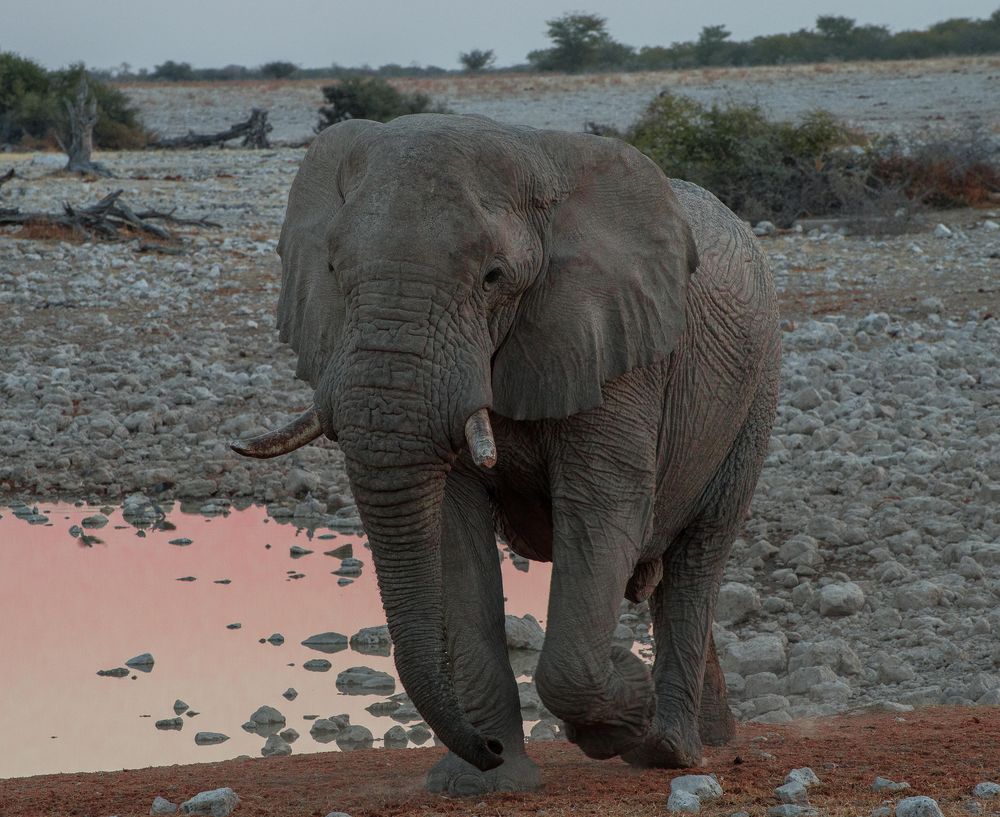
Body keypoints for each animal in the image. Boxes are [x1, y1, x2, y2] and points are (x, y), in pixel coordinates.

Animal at [234, 113, 780, 792]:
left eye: (493, 277)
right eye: (334, 269)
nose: (485, 748)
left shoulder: (616, 343)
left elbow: (602, 512)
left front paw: (627, 701)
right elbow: (453, 534)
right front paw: (483, 784)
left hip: (754, 396)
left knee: (696, 557)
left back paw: (669, 750)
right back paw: (713, 737)